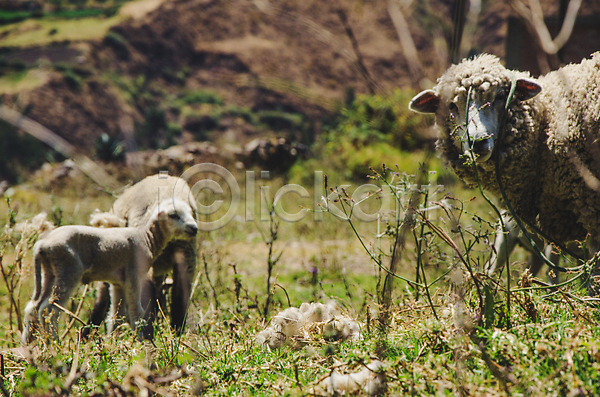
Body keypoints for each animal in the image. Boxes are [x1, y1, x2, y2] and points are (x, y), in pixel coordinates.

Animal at [21, 198, 197, 344]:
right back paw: (54, 343)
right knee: (49, 310)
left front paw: (114, 340)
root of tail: (42, 244)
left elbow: (116, 315)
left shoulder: (118, 282)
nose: (194, 228)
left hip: (49, 272)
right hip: (68, 270)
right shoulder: (134, 275)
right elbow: (136, 311)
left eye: (190, 213)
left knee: (33, 307)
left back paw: (27, 344)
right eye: (173, 215)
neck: (147, 238)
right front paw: (139, 343)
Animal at [84, 174, 198, 338]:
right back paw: (87, 333)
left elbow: (178, 300)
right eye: (173, 215)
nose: (194, 228)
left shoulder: (186, 261)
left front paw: (176, 334)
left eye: (190, 213)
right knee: (102, 299)